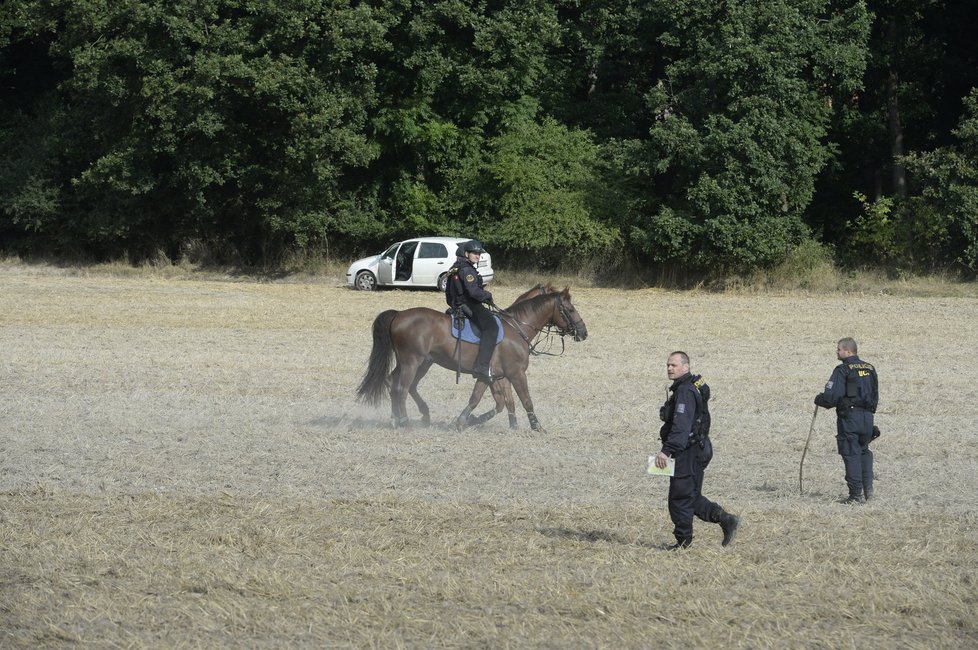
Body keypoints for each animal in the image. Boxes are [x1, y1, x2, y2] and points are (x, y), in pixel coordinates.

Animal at [358, 284, 588, 428]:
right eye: (570, 309)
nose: (583, 332)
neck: (516, 328)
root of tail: (398, 314)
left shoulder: (491, 376)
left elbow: (491, 401)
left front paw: (468, 420)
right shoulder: (516, 373)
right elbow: (525, 400)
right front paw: (536, 426)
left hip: (418, 363)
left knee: (393, 382)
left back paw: (398, 418)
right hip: (412, 362)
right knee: (402, 388)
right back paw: (405, 421)